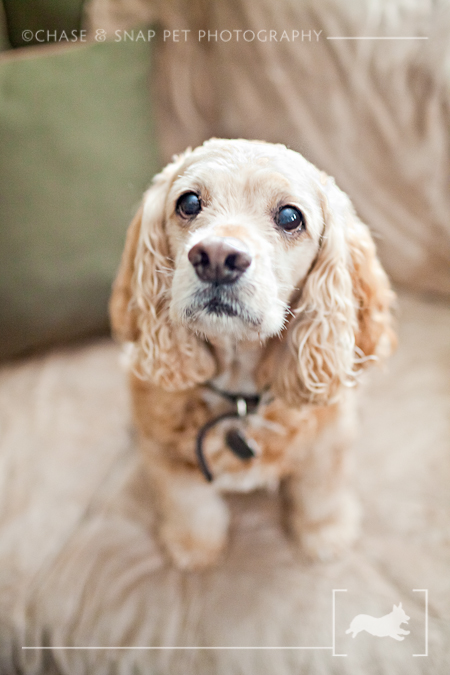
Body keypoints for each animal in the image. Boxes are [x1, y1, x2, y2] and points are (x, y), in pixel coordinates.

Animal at [110, 137, 394, 572]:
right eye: (188, 202)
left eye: (291, 217)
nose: (215, 257)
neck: (239, 394)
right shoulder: (167, 458)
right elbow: (190, 502)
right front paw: (194, 547)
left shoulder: (328, 444)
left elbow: (321, 491)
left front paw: (325, 534)